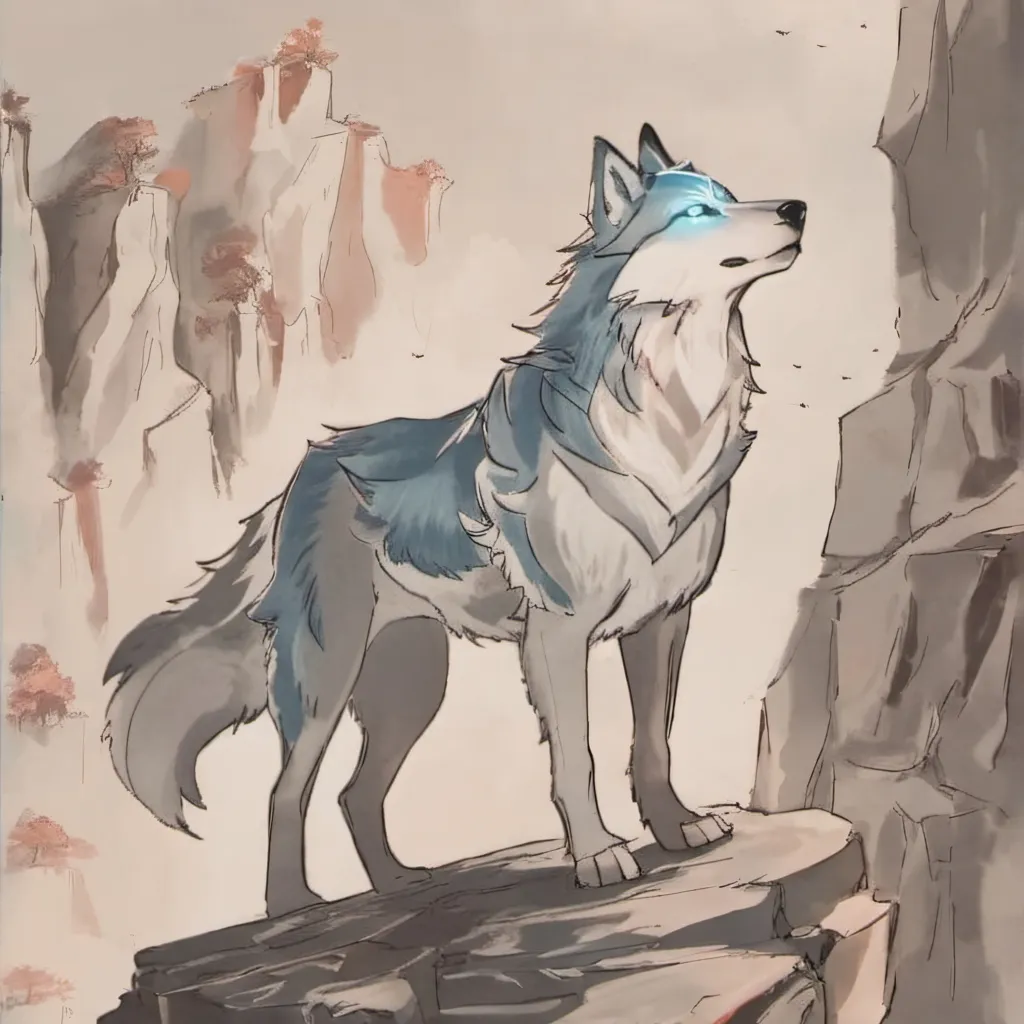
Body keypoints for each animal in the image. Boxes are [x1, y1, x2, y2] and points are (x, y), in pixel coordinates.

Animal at [103, 124, 806, 917]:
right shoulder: (559, 634)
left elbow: (653, 740)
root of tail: (304, 471)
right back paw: (292, 904)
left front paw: (677, 827)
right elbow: (579, 754)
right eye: (698, 214)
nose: (798, 208)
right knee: (287, 792)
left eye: (730, 196)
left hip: (411, 688)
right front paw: (598, 856)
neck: (669, 414)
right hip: (326, 682)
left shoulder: (663, 621)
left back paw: (397, 882)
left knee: (353, 794)